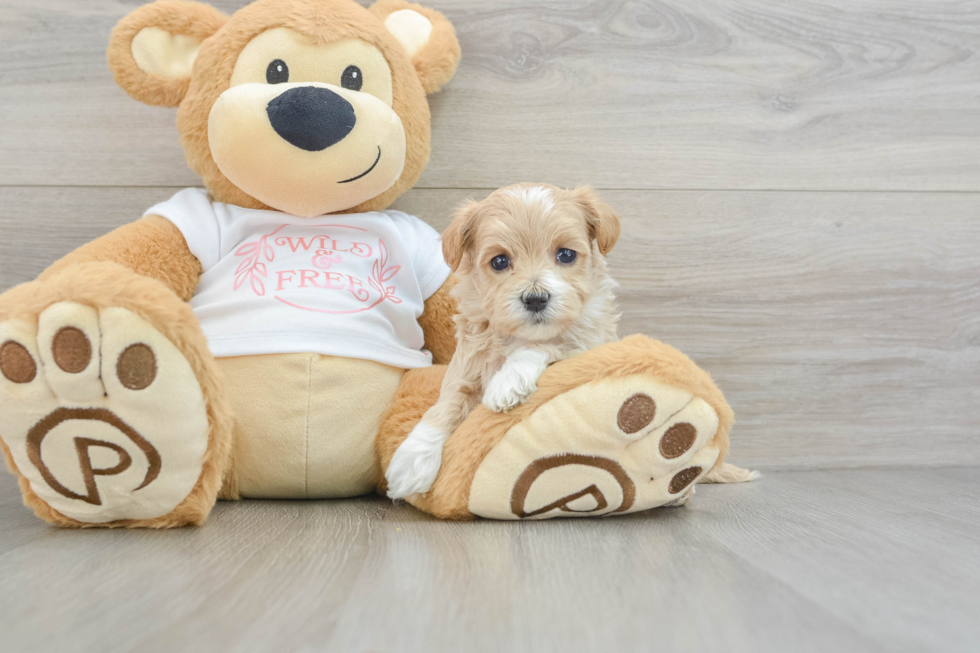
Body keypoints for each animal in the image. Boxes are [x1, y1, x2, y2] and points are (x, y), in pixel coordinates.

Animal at [382, 183, 620, 500]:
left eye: (566, 255)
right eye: (499, 261)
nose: (535, 298)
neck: (516, 335)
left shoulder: (589, 343)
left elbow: (548, 343)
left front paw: (507, 382)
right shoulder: (465, 368)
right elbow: (445, 404)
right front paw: (412, 459)